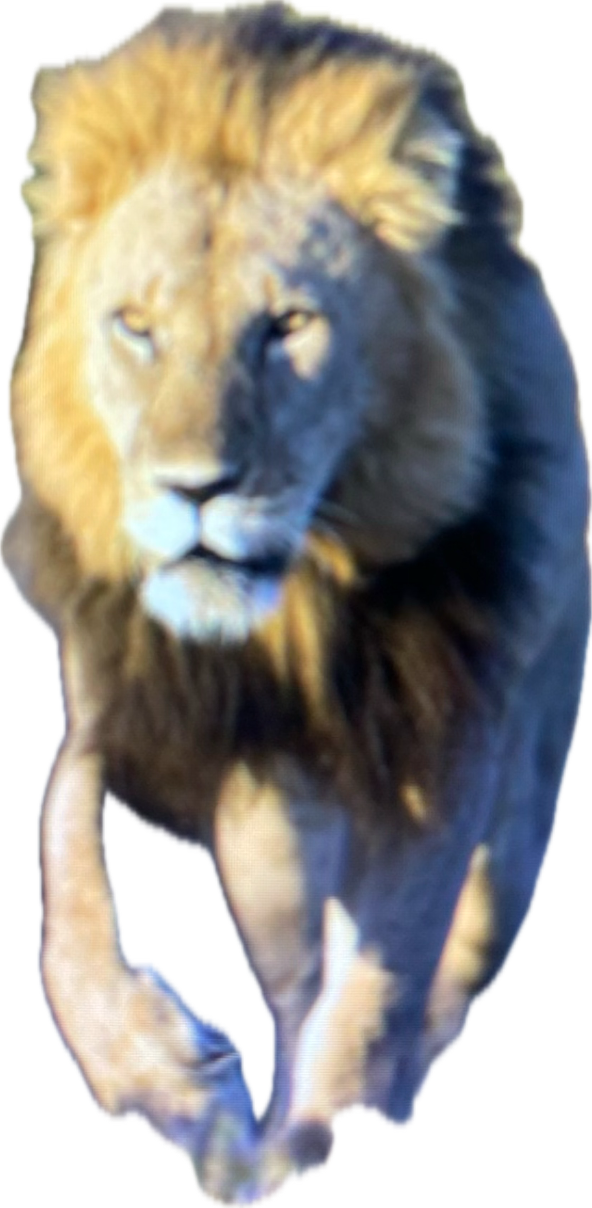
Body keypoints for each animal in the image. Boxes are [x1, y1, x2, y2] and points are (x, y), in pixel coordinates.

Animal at [2, 3, 589, 1204]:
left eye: (287, 325)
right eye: (136, 326)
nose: (195, 488)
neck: (298, 623)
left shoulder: (450, 731)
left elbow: (387, 974)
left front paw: (341, 1118)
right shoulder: (124, 683)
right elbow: (63, 870)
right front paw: (169, 1075)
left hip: (525, 782)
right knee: (295, 960)